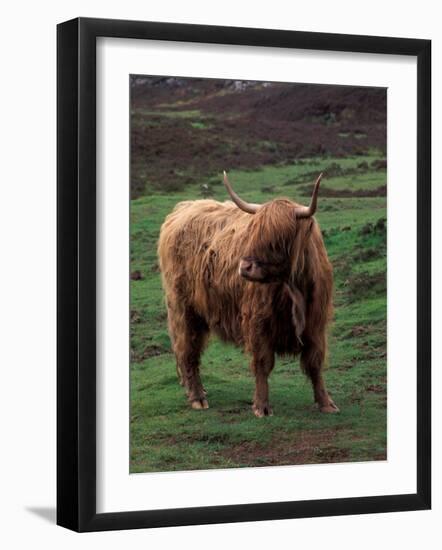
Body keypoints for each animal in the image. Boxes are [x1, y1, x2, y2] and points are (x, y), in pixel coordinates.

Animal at [156, 172, 338, 418]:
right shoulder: (257, 321)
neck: (294, 289)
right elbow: (263, 363)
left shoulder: (316, 324)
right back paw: (197, 397)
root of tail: (183, 209)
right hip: (183, 309)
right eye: (253, 233)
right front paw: (261, 406)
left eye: (279, 238)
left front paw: (326, 403)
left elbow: (314, 363)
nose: (245, 267)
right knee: (187, 350)